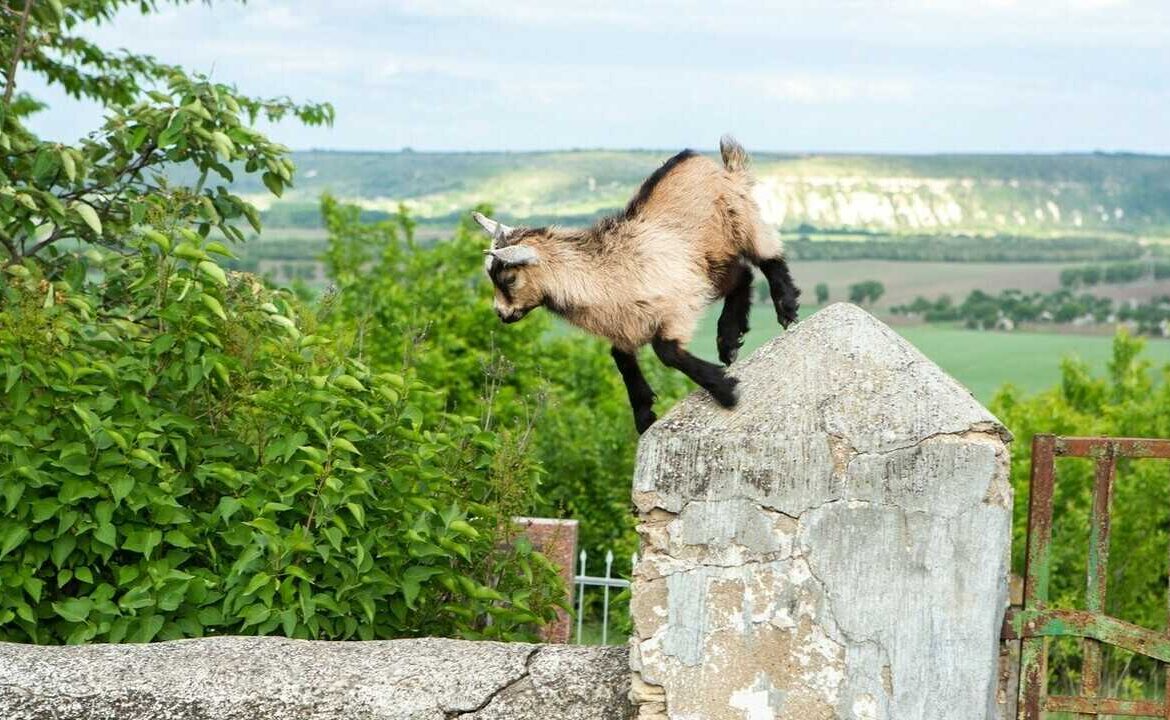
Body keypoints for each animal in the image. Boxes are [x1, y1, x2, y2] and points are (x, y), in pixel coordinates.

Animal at [470, 135, 800, 433]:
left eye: (509, 277)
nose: (501, 313)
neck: (605, 274)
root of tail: (725, 168)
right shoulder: (626, 324)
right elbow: (620, 356)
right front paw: (644, 415)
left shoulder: (679, 303)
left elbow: (667, 352)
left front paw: (726, 391)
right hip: (710, 264)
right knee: (742, 275)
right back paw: (728, 340)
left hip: (740, 220)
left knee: (767, 258)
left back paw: (785, 309)